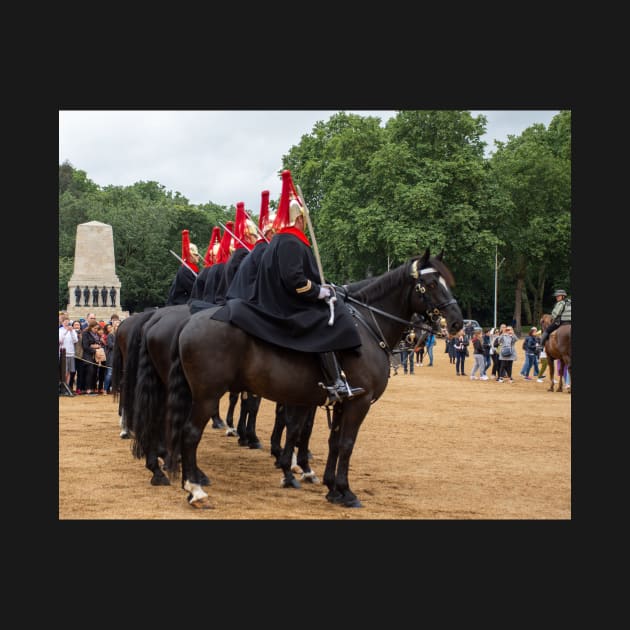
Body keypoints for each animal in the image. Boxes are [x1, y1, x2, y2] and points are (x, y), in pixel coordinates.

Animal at [158, 251, 464, 508]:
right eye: (430, 283)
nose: (457, 323)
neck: (367, 326)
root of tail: (188, 322)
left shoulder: (339, 402)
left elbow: (331, 441)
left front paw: (330, 487)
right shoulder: (358, 402)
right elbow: (344, 443)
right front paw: (345, 491)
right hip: (207, 394)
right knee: (190, 432)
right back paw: (195, 488)